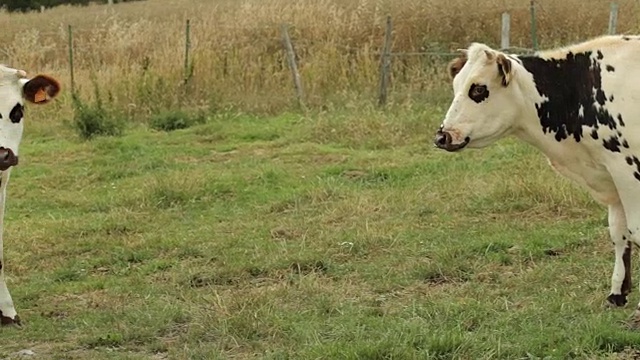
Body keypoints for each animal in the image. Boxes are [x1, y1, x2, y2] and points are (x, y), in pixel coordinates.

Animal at [432, 35, 640, 326]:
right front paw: (617, 293)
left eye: (479, 89)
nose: (443, 136)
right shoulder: (611, 174)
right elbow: (619, 233)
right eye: (456, 86)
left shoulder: (627, 170)